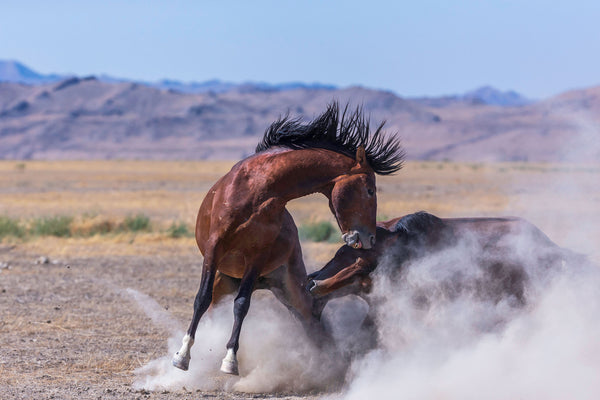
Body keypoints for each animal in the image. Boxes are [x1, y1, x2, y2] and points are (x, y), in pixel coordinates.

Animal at [171, 102, 404, 376]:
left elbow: (242, 305)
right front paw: (182, 356)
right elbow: (201, 298)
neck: (258, 191)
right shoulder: (214, 248)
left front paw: (230, 360)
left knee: (312, 322)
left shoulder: (256, 256)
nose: (369, 238)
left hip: (287, 288)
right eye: (370, 190)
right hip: (227, 280)